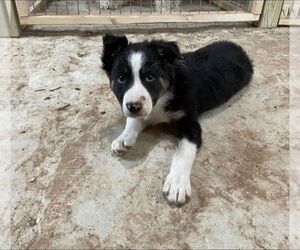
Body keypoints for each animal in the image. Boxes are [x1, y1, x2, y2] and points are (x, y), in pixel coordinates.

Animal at [101, 34, 253, 205]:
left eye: (149, 77)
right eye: (121, 78)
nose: (134, 106)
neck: (163, 95)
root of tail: (238, 48)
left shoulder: (189, 123)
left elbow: (183, 153)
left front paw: (177, 183)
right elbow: (133, 121)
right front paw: (123, 138)